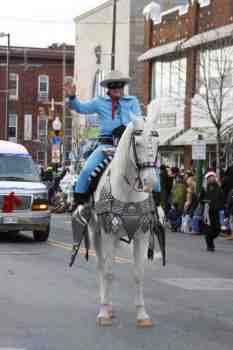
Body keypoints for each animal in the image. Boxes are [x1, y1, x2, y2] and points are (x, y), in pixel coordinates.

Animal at [79, 115, 163, 328]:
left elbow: (138, 273)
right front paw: (103, 313)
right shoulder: (108, 232)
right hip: (96, 232)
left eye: (157, 142)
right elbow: (108, 272)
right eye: (138, 143)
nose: (150, 181)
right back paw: (105, 306)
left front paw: (142, 315)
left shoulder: (142, 234)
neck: (129, 192)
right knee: (101, 267)